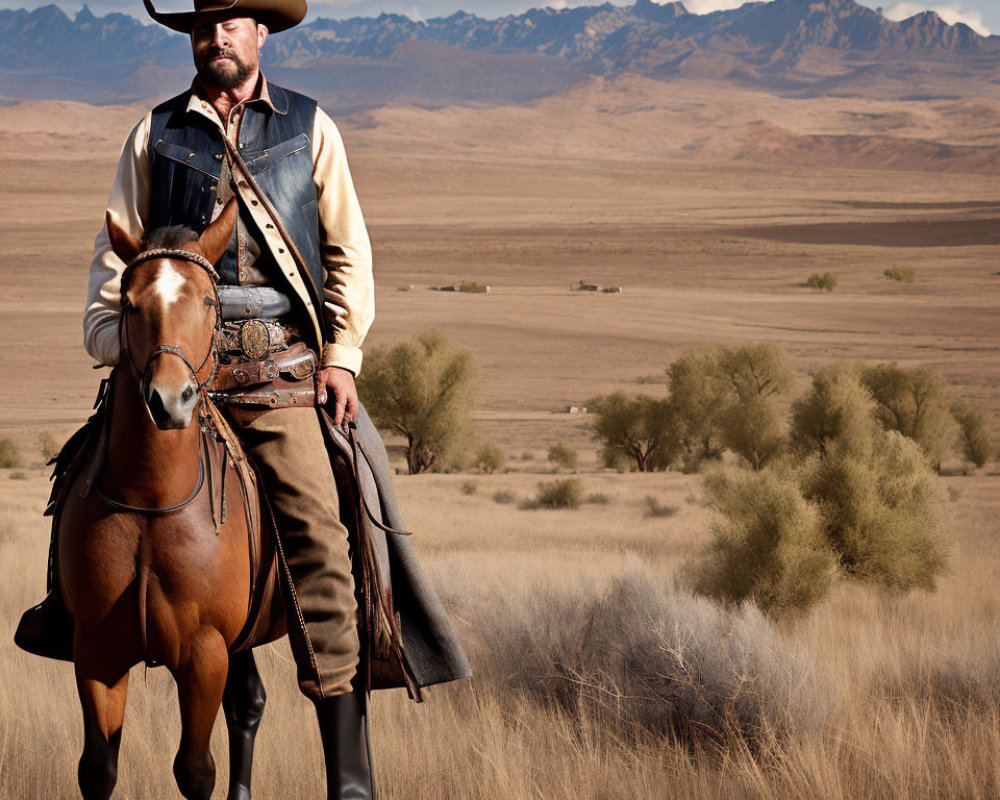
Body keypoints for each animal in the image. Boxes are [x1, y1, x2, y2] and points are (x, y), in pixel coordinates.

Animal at [61, 203, 286, 796]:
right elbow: (98, 769)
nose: (169, 399)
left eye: (208, 300)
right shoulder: (96, 649)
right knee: (249, 704)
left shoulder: (204, 654)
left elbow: (195, 769)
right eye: (129, 302)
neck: (151, 496)